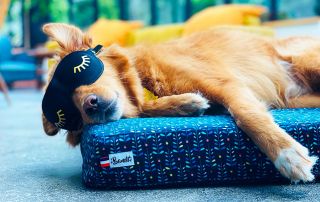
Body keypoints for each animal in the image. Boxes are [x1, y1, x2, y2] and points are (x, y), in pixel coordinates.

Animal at [41, 23, 318, 183]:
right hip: (294, 99)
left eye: (78, 70)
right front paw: (187, 103)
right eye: (68, 114)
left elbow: (246, 115)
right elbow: (145, 109)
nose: (89, 105)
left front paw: (288, 155)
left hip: (305, 63)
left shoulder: (226, 83)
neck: (145, 79)